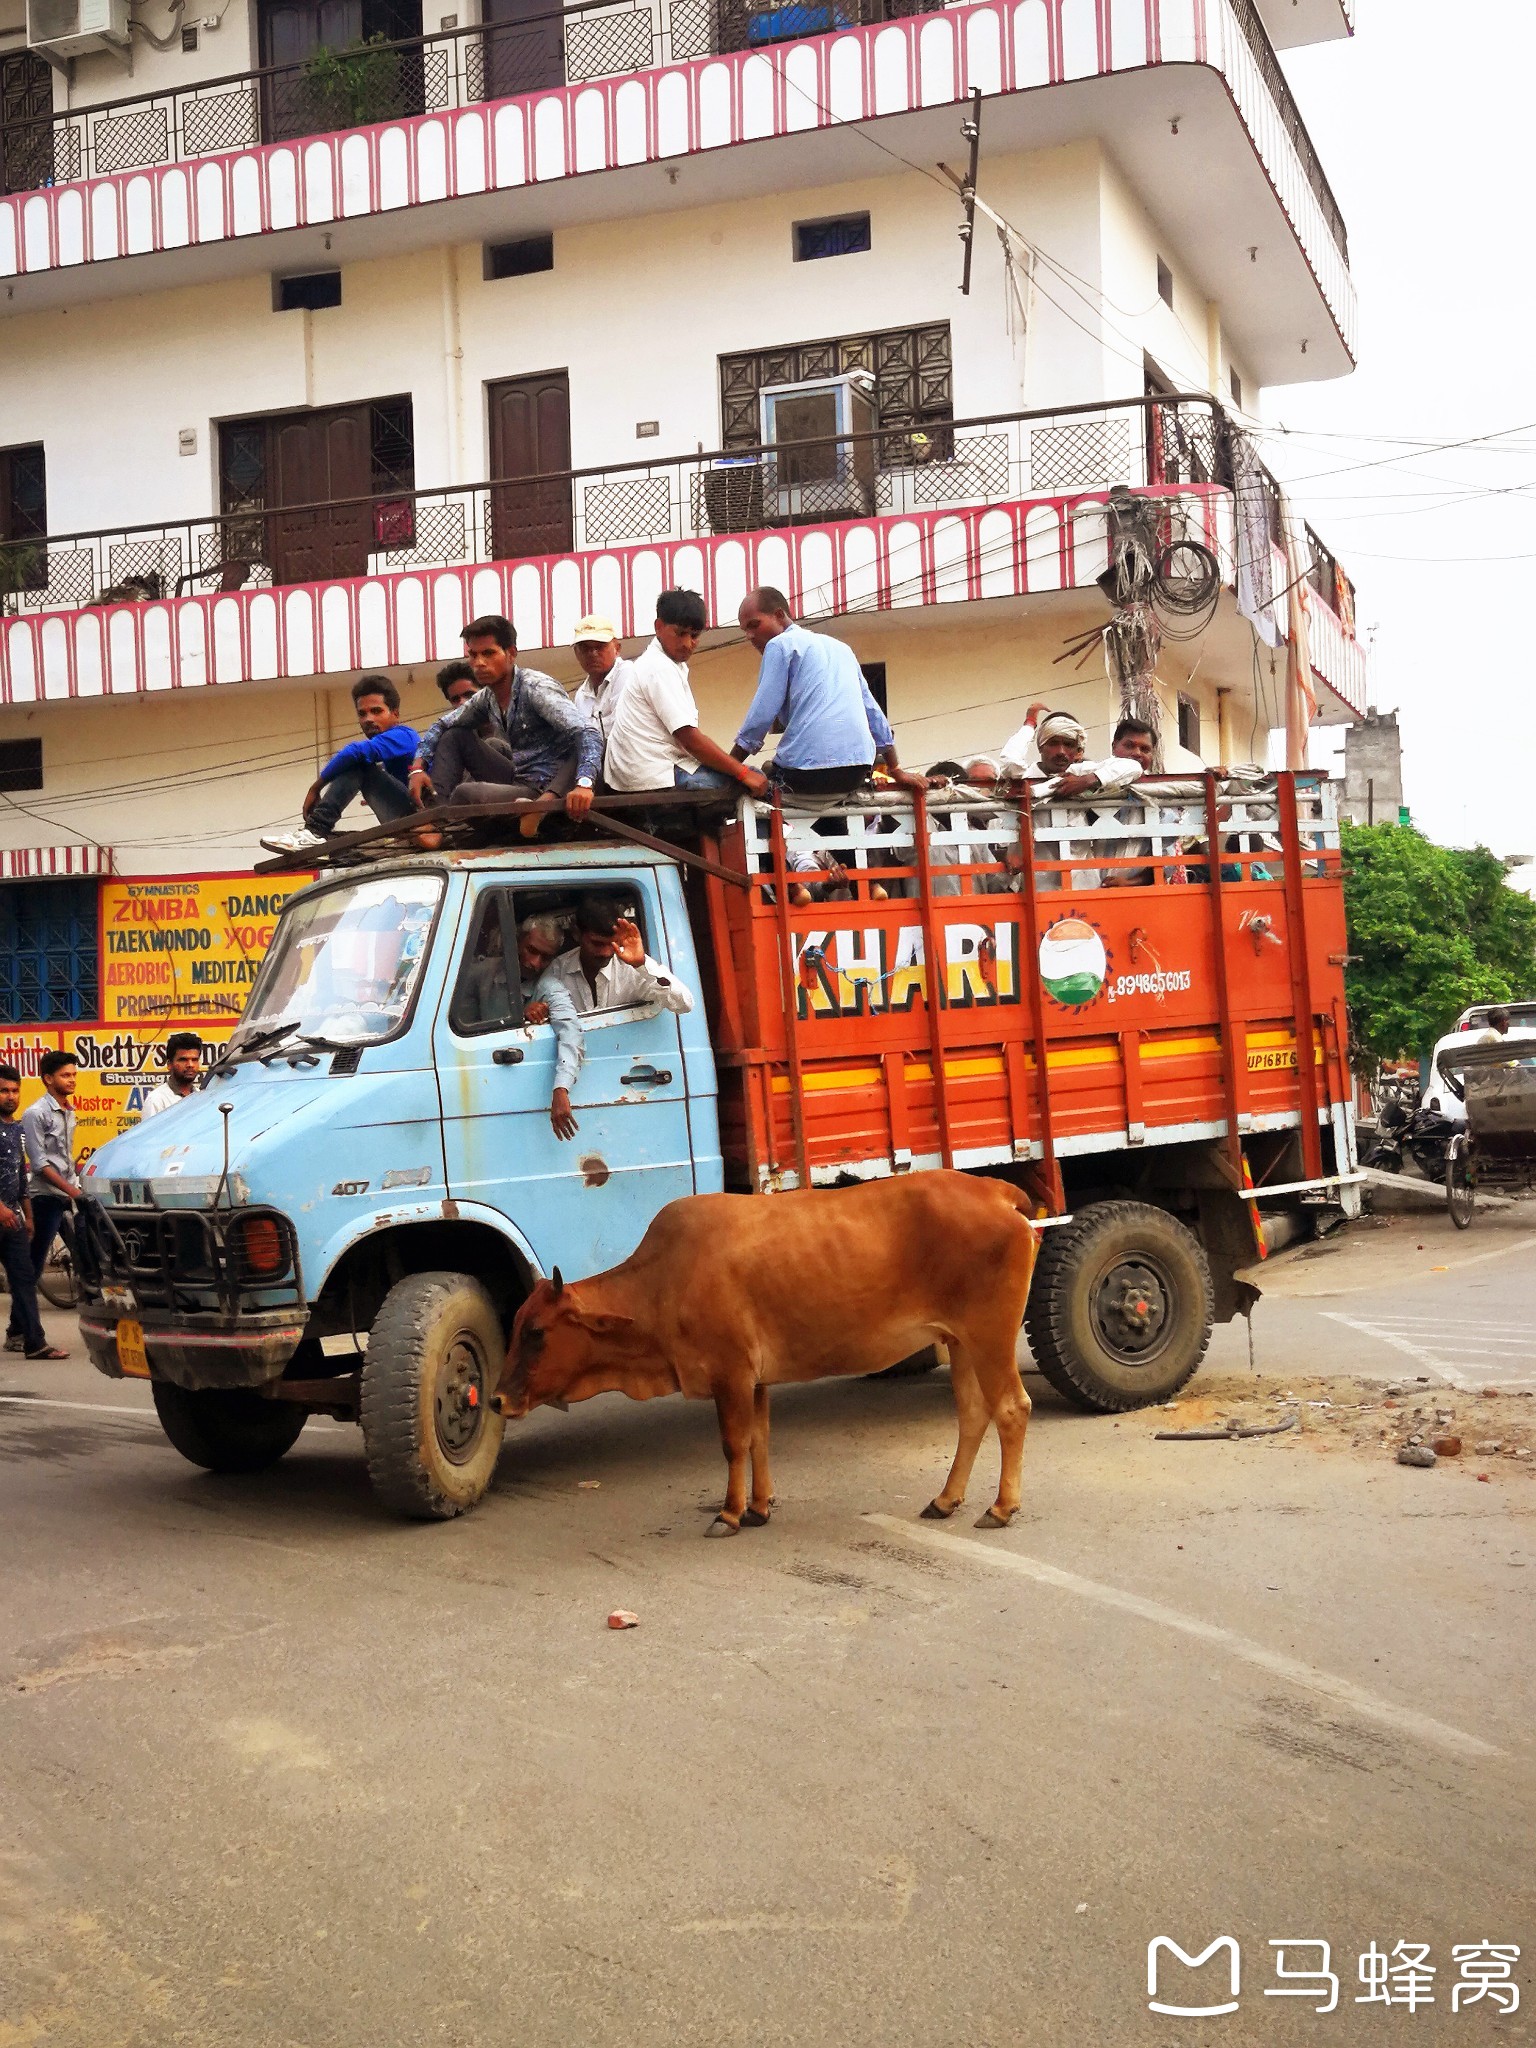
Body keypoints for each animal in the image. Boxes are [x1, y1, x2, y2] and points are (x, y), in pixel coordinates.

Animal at [499, 1179, 1040, 1531]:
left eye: (537, 1332)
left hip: (989, 1337)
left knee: (1012, 1409)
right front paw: (759, 1507)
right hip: (961, 1342)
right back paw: (946, 1500)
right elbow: (759, 1439)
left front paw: (730, 1513)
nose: (497, 1400)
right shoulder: (755, 1381)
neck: (662, 1282)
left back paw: (1001, 1508)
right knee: (973, 1415)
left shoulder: (731, 1374)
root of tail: (996, 1192)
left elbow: (734, 1444)